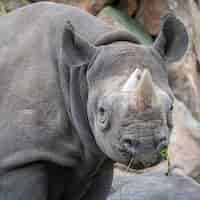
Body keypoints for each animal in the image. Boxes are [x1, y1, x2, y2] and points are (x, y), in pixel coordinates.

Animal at [0, 1, 188, 200]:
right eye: (102, 111)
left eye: (171, 107)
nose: (146, 145)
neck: (79, 75)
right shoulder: (21, 157)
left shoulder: (98, 161)